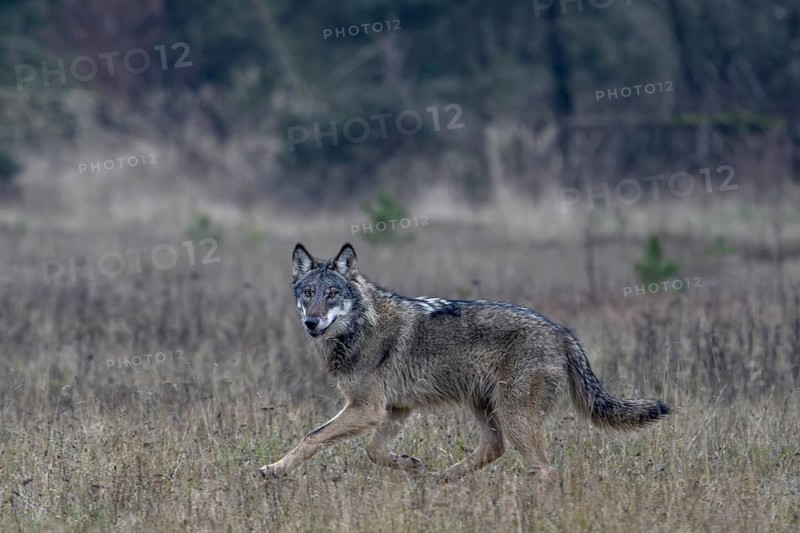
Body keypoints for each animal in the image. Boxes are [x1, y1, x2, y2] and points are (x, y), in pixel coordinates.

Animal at [260, 243, 670, 481]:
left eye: (331, 294)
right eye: (308, 294)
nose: (312, 322)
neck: (360, 328)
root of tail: (563, 332)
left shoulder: (367, 408)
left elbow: (312, 437)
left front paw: (274, 470)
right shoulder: (394, 409)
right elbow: (374, 451)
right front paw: (411, 465)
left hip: (514, 416)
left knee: (545, 469)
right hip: (485, 407)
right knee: (495, 449)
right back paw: (443, 478)